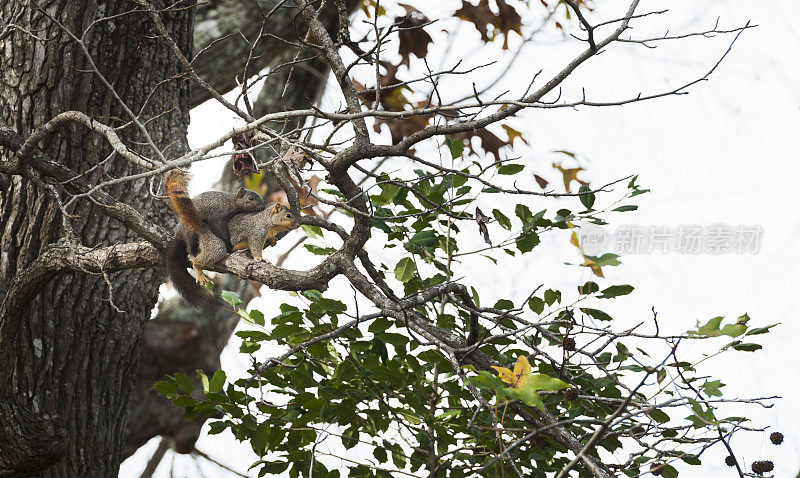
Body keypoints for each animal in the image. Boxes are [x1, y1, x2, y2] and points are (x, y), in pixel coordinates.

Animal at [164, 170, 268, 308]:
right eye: (250, 198)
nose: (263, 207)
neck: (232, 203)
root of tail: (178, 234)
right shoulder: (217, 215)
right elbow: (219, 228)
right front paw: (228, 244)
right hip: (191, 232)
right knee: (190, 246)